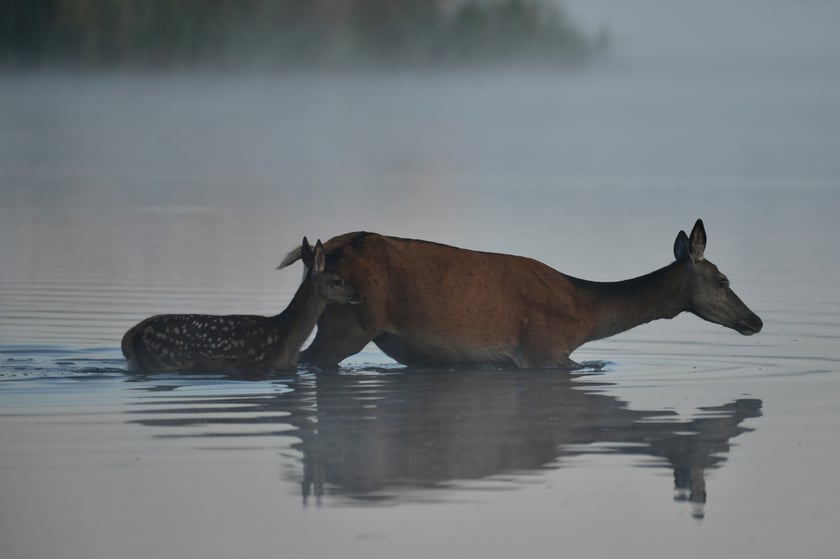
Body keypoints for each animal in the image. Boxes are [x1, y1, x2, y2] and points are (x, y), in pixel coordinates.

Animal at [122, 236, 360, 372]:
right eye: (338, 280)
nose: (358, 295)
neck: (286, 337)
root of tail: (132, 334)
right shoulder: (260, 365)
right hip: (162, 361)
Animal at [280, 221, 760, 370]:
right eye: (724, 281)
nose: (755, 321)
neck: (586, 316)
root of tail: (326, 247)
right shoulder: (543, 350)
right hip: (346, 323)